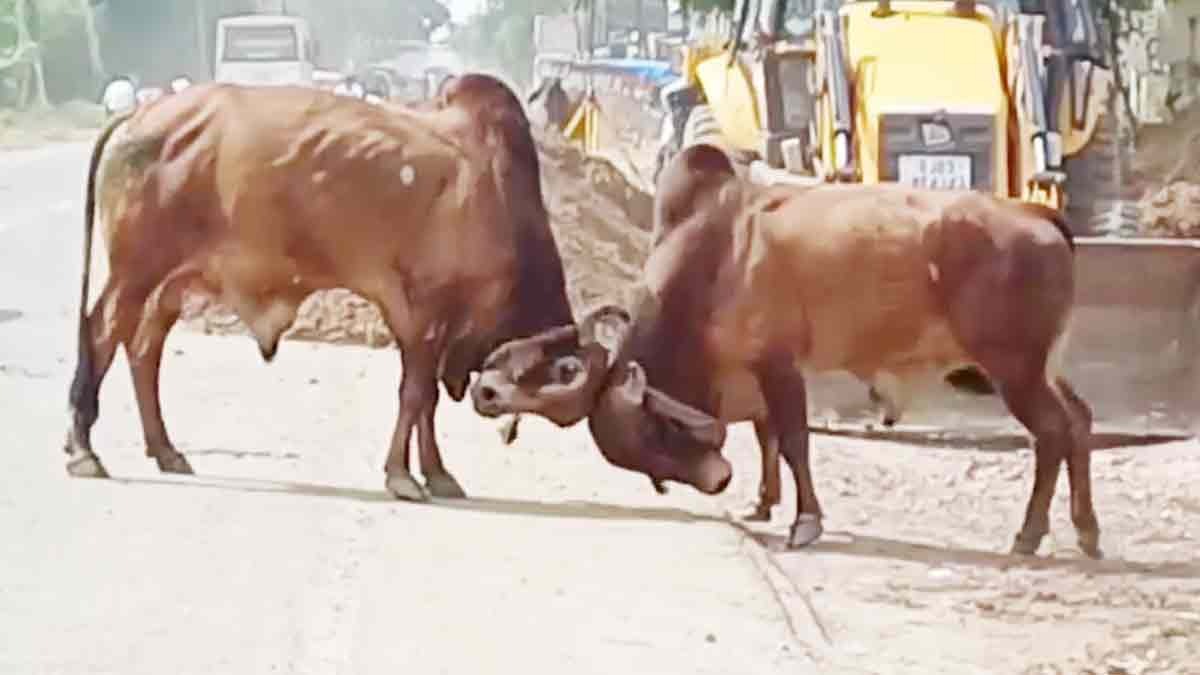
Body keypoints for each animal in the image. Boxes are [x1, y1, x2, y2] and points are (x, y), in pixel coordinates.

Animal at [64, 73, 599, 503]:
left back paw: (164, 449)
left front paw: (436, 474)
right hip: (135, 271)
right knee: (102, 334)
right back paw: (84, 450)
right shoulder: (424, 311)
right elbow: (416, 394)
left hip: (172, 283)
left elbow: (423, 400)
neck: (497, 191)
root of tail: (139, 114)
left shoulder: (426, 327)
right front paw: (403, 477)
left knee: (144, 348)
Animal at [469, 143, 1101, 559]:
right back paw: (1086, 531)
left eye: (655, 434)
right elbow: (767, 436)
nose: (717, 481)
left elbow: (793, 440)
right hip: (1043, 366)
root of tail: (1035, 213)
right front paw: (762, 503)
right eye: (651, 461)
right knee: (1079, 421)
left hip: (1013, 368)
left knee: (1051, 433)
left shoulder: (778, 365)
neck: (714, 257)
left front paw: (806, 522)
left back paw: (1029, 535)